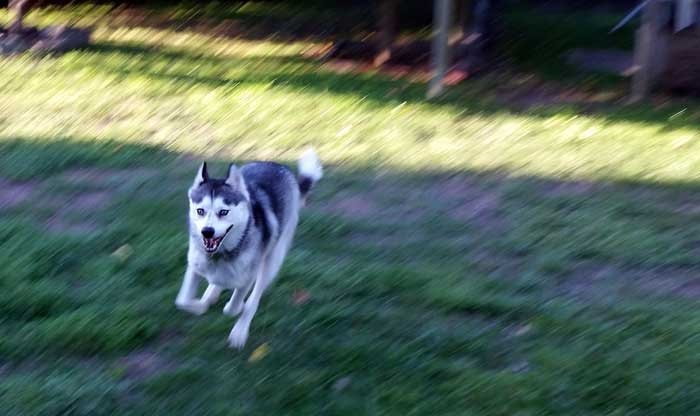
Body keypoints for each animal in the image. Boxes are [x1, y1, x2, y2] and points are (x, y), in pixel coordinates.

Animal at [178, 150, 326, 348]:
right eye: (200, 211)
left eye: (223, 212)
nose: (207, 232)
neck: (220, 256)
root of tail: (278, 166)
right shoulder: (195, 266)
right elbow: (183, 301)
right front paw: (200, 305)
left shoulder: (247, 277)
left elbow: (234, 308)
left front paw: (234, 310)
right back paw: (211, 294)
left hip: (272, 261)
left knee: (254, 299)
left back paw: (239, 330)